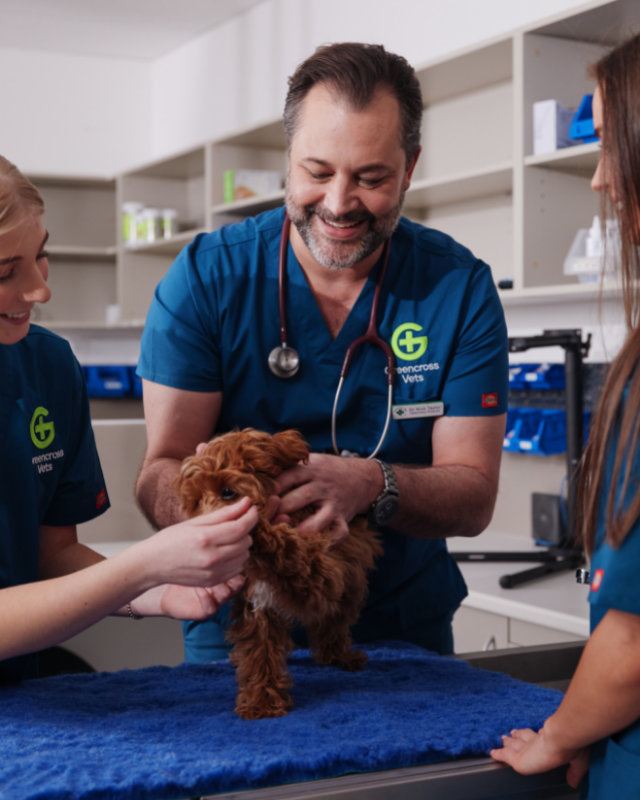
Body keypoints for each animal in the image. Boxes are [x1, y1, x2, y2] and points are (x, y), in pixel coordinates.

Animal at [175, 428, 382, 720]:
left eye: (228, 492)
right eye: (195, 503)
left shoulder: (322, 574)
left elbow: (292, 552)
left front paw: (257, 530)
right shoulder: (257, 603)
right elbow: (260, 651)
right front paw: (261, 702)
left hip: (348, 585)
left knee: (335, 622)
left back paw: (340, 655)